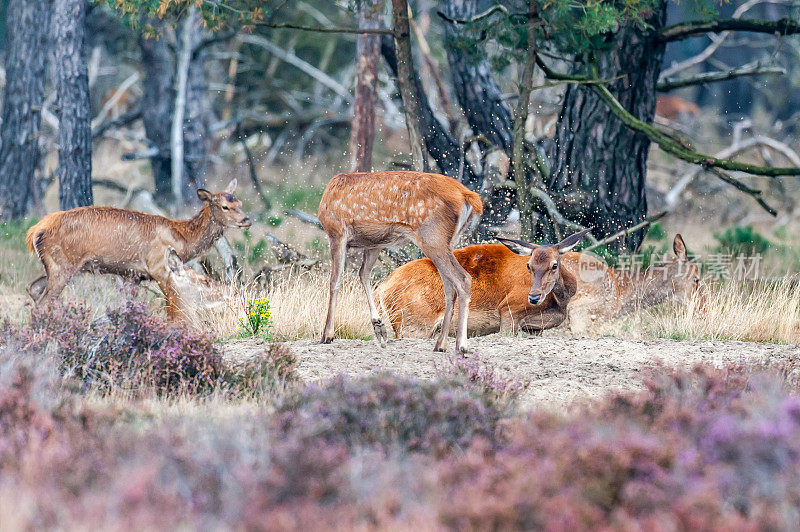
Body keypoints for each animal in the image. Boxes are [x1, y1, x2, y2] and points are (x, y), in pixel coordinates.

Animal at [25, 179, 250, 320]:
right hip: (63, 265)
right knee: (43, 302)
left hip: (57, 266)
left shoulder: (133, 275)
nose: (247, 220)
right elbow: (173, 302)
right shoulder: (158, 267)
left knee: (33, 288)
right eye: (224, 206)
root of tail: (35, 231)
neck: (182, 239)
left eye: (239, 202)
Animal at [318, 170, 482, 354]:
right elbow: (363, 274)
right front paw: (378, 326)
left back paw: (461, 345)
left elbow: (335, 281)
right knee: (449, 286)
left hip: (432, 237)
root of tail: (467, 195)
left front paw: (327, 335)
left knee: (463, 279)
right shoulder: (374, 243)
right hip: (449, 241)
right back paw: (440, 344)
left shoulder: (336, 232)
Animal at [376, 228, 592, 336]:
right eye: (529, 265)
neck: (560, 302)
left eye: (554, 265)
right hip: (413, 325)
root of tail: (382, 288)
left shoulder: (534, 328)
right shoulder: (508, 310)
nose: (533, 297)